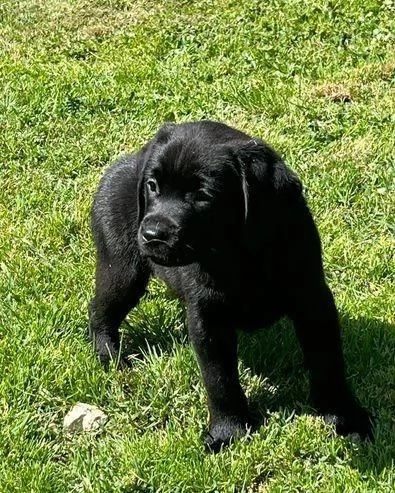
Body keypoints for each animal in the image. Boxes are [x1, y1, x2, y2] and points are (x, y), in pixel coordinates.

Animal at [89, 120, 374, 450]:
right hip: (121, 269)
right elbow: (219, 378)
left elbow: (328, 362)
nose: (152, 235)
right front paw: (229, 431)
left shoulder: (312, 300)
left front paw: (345, 417)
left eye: (203, 195)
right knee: (101, 310)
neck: (238, 253)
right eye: (152, 185)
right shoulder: (208, 318)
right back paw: (109, 355)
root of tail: (123, 164)